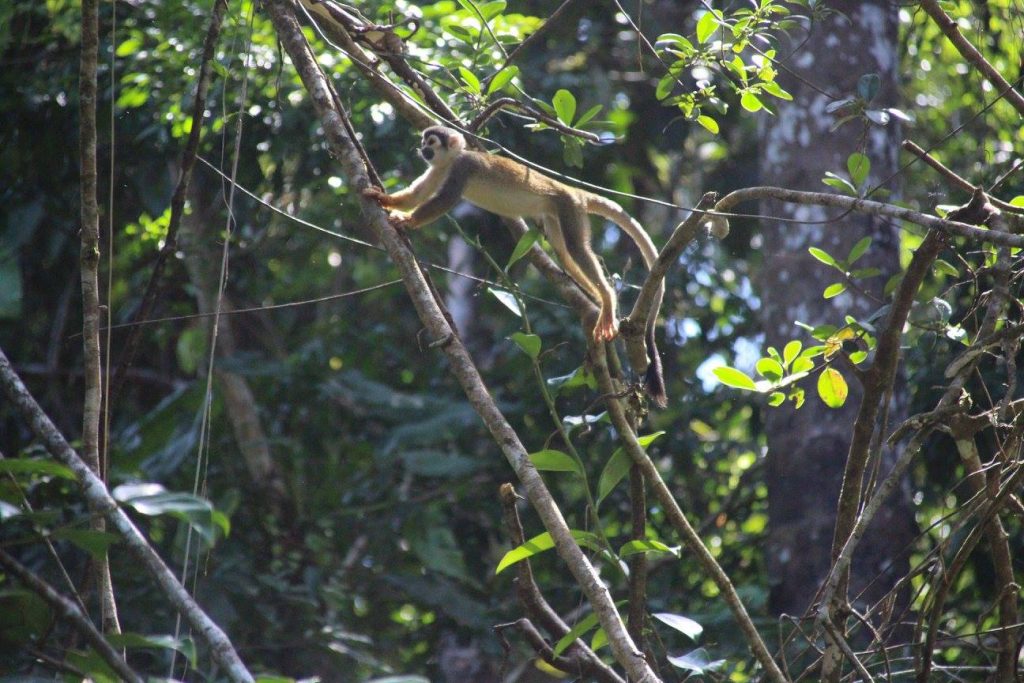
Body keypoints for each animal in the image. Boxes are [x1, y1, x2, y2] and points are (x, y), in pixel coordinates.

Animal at [364, 126, 692, 409]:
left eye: (431, 142)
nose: (422, 149)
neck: (450, 161)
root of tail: (572, 190)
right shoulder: (438, 170)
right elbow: (416, 195)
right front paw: (384, 199)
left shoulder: (461, 169)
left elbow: (443, 201)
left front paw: (406, 221)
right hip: (555, 214)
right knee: (566, 254)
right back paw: (598, 303)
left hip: (568, 208)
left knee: (576, 249)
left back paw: (607, 300)